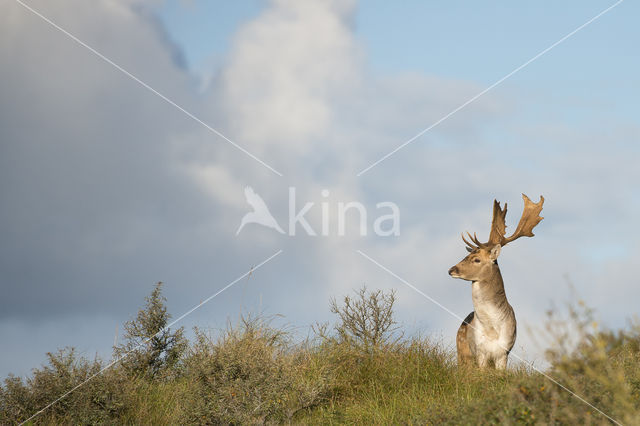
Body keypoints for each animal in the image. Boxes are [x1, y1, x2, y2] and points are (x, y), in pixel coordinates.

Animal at [448, 195, 544, 368]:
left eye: (476, 259)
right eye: (466, 255)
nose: (452, 269)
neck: (492, 329)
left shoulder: (504, 351)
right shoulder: (480, 351)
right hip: (462, 352)